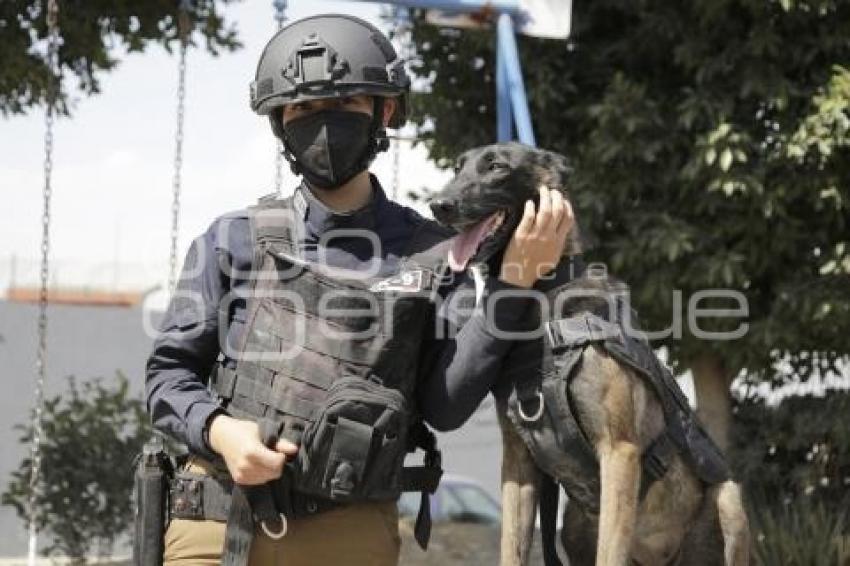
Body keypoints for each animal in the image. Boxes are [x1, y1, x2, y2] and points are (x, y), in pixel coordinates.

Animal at [428, 143, 744, 566]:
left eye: (496, 166)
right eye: (458, 168)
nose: (438, 205)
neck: (539, 300)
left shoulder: (619, 453)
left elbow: (609, 554)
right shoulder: (518, 462)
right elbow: (512, 549)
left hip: (729, 500)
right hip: (574, 524)